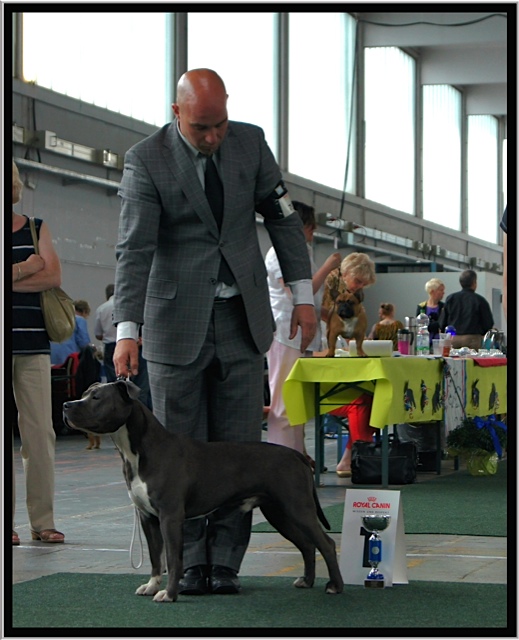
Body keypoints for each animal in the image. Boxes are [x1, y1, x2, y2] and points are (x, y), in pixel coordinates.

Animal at [62, 380, 343, 603]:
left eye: (97, 397)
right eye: (85, 393)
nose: (66, 404)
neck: (137, 451)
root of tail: (297, 455)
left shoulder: (170, 517)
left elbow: (173, 559)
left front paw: (169, 594)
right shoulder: (148, 518)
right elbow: (155, 558)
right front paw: (152, 586)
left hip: (297, 507)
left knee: (326, 544)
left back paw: (335, 587)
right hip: (279, 513)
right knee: (307, 544)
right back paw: (307, 581)